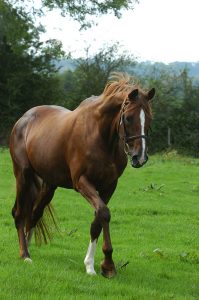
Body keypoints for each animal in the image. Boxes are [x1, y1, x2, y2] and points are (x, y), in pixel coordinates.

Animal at [9, 72, 155, 276]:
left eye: (149, 118)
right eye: (128, 118)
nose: (139, 157)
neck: (101, 137)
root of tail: (24, 119)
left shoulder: (109, 186)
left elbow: (97, 221)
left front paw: (93, 265)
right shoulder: (82, 183)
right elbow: (104, 213)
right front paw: (107, 264)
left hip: (49, 184)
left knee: (34, 213)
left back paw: (28, 247)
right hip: (23, 176)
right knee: (19, 213)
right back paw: (24, 254)